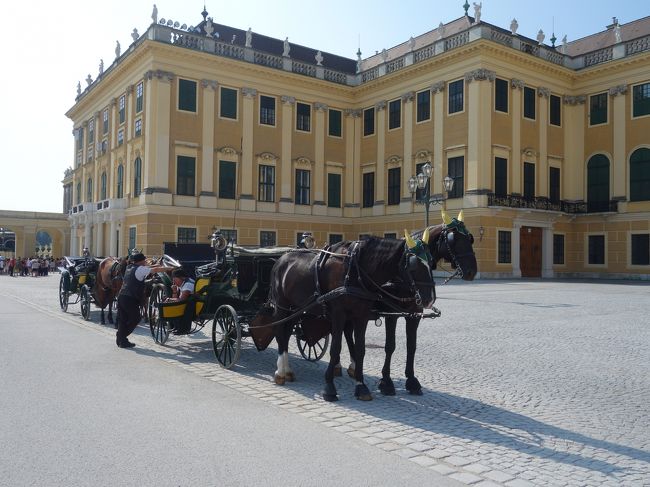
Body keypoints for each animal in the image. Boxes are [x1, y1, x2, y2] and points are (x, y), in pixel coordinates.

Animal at [264, 235, 436, 400]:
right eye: (413, 265)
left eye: (431, 262)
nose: (429, 299)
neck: (355, 271)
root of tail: (281, 259)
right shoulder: (340, 314)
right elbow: (336, 348)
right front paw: (330, 387)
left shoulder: (364, 315)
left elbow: (361, 348)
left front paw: (361, 386)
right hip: (282, 306)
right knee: (280, 332)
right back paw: (280, 372)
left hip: (296, 308)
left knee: (286, 333)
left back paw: (287, 370)